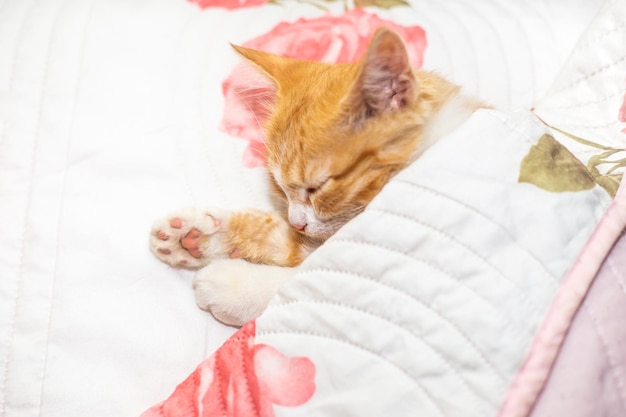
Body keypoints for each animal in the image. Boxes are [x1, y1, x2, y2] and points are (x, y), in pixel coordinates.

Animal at [149, 29, 480, 326]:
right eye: (278, 186)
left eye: (316, 187)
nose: (297, 222)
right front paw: (197, 236)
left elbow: (316, 281)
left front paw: (236, 286)